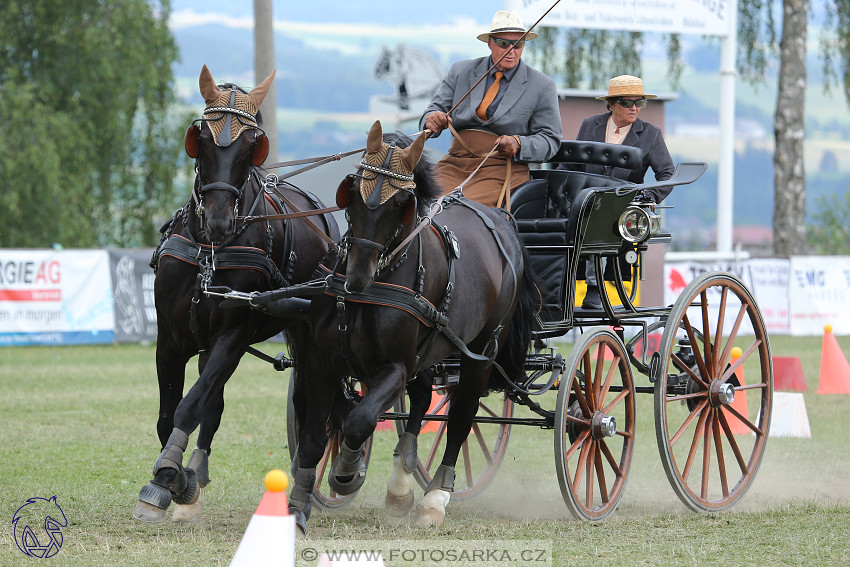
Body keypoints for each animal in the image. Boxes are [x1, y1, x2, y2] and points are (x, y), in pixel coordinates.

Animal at [132, 64, 338, 520]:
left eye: (250, 147)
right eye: (202, 140)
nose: (219, 219)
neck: (210, 251)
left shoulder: (233, 336)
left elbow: (190, 405)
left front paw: (168, 476)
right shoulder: (169, 339)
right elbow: (168, 414)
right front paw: (177, 480)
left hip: (304, 337)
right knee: (215, 404)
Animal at [284, 121, 536, 532]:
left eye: (401, 204)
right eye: (353, 191)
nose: (357, 277)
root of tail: (502, 220)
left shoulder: (395, 368)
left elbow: (359, 420)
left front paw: (347, 472)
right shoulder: (321, 362)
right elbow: (314, 436)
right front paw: (297, 507)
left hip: (481, 354)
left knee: (460, 417)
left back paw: (435, 497)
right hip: (430, 350)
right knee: (420, 402)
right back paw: (401, 484)